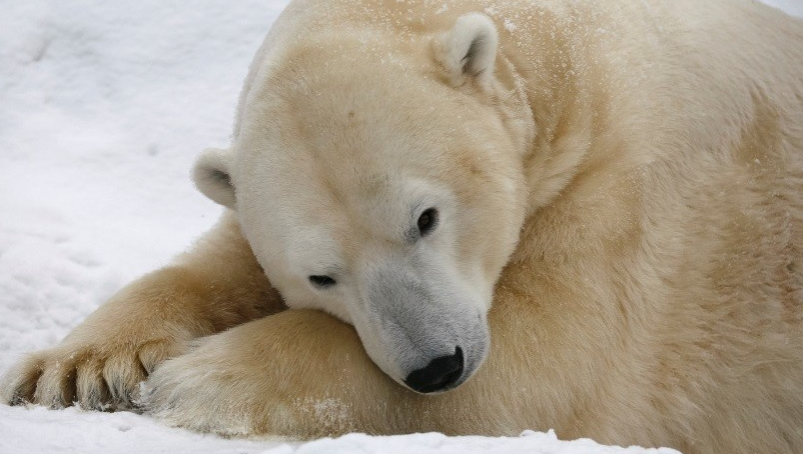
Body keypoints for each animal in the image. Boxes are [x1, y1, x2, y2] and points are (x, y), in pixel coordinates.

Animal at [3, 0, 803, 452]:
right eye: (321, 274)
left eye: (426, 217)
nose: (436, 365)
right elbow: (221, 261)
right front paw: (77, 369)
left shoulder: (635, 183)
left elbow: (557, 354)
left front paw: (201, 377)